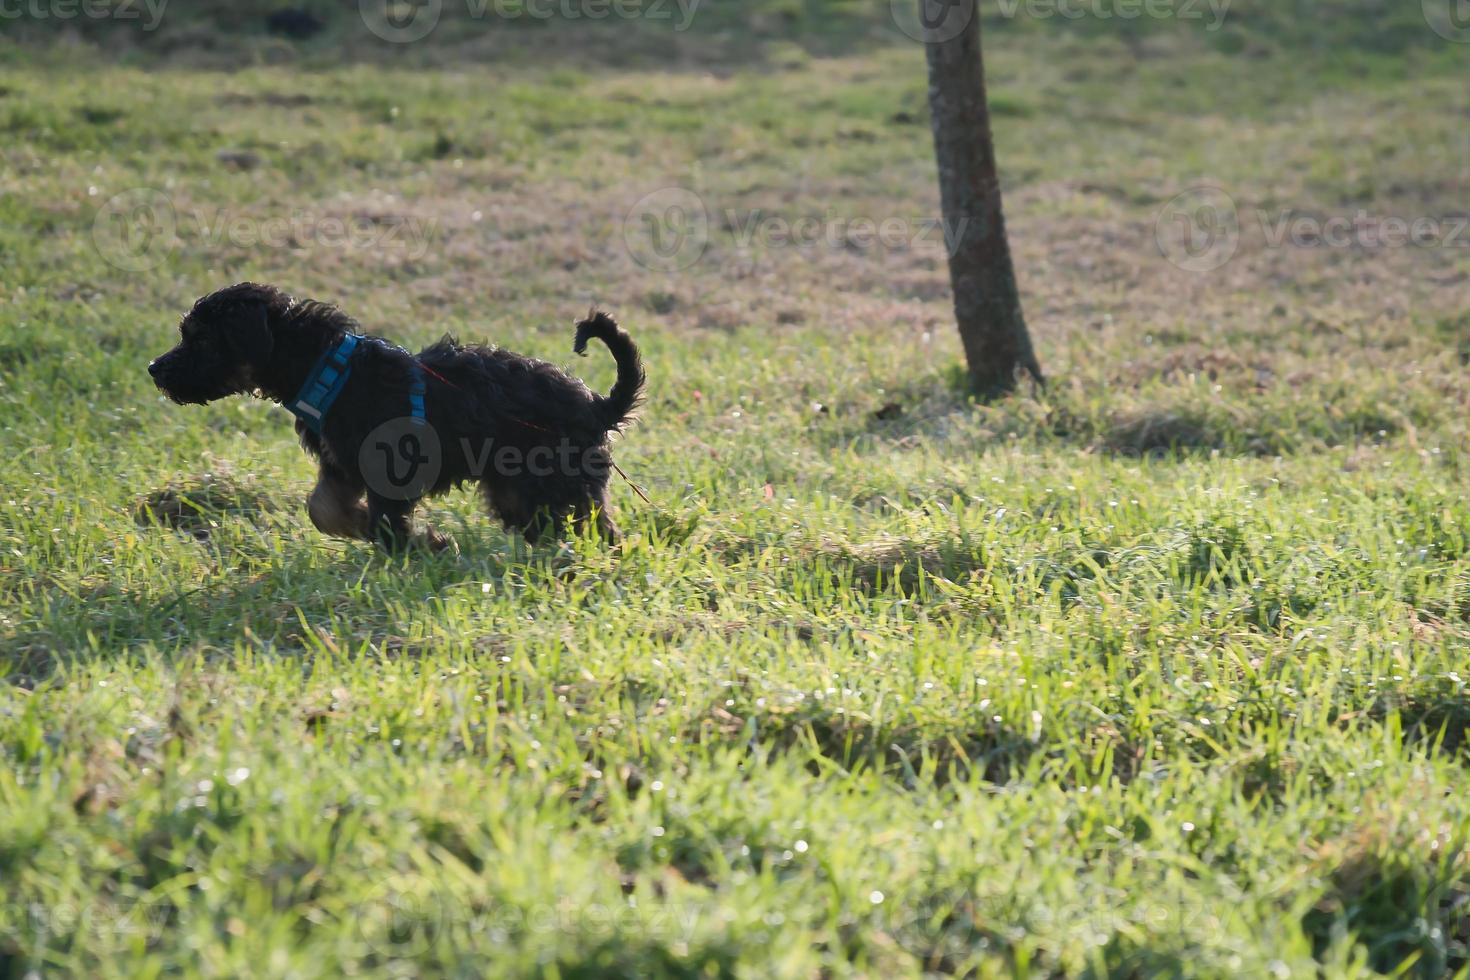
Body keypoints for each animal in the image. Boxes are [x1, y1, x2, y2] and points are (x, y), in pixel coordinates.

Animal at [147, 282, 643, 552]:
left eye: (200, 339)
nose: (154, 369)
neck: (325, 365)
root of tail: (597, 406)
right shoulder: (340, 466)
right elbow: (322, 509)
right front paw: (362, 526)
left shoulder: (387, 469)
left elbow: (386, 524)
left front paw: (427, 545)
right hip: (518, 493)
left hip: (557, 482)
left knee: (598, 530)